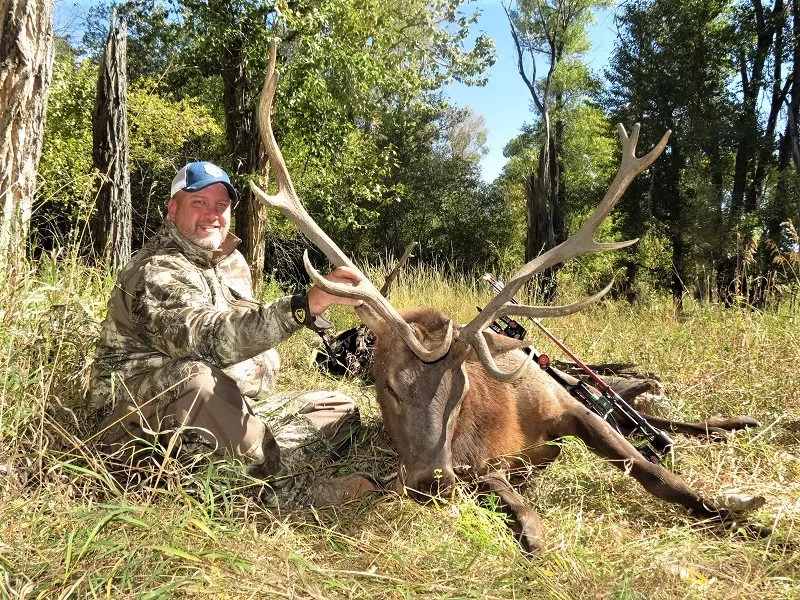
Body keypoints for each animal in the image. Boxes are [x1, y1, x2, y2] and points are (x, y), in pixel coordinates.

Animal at [253, 42, 764, 552]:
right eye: (388, 386)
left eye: (459, 388)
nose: (430, 481)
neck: (503, 427)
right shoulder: (480, 467)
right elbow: (516, 507)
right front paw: (532, 529)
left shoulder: (570, 408)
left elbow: (653, 472)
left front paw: (740, 518)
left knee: (652, 417)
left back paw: (734, 424)